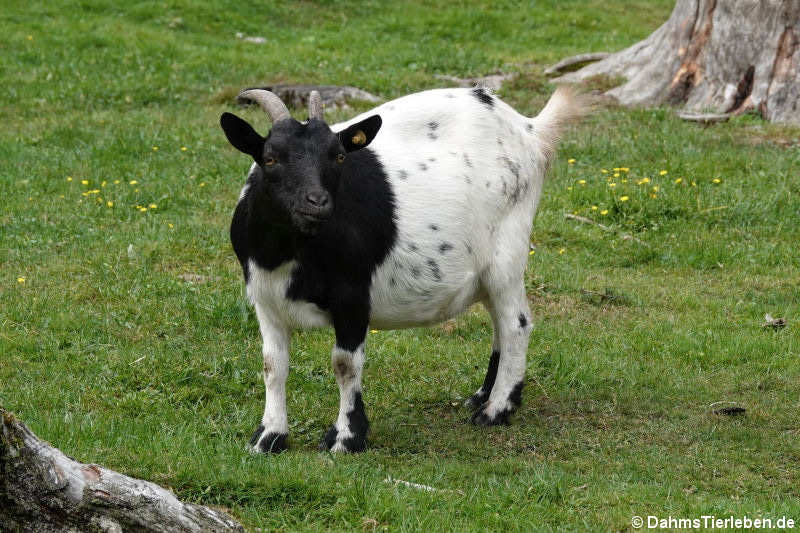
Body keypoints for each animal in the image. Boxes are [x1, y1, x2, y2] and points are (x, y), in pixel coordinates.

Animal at [219, 85, 588, 450]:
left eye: (338, 156)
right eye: (270, 158)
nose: (317, 202)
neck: (287, 252)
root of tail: (529, 130)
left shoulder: (353, 295)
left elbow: (344, 364)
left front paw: (346, 437)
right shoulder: (265, 300)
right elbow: (273, 364)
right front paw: (269, 436)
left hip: (507, 252)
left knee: (516, 324)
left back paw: (496, 410)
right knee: (499, 322)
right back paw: (483, 396)